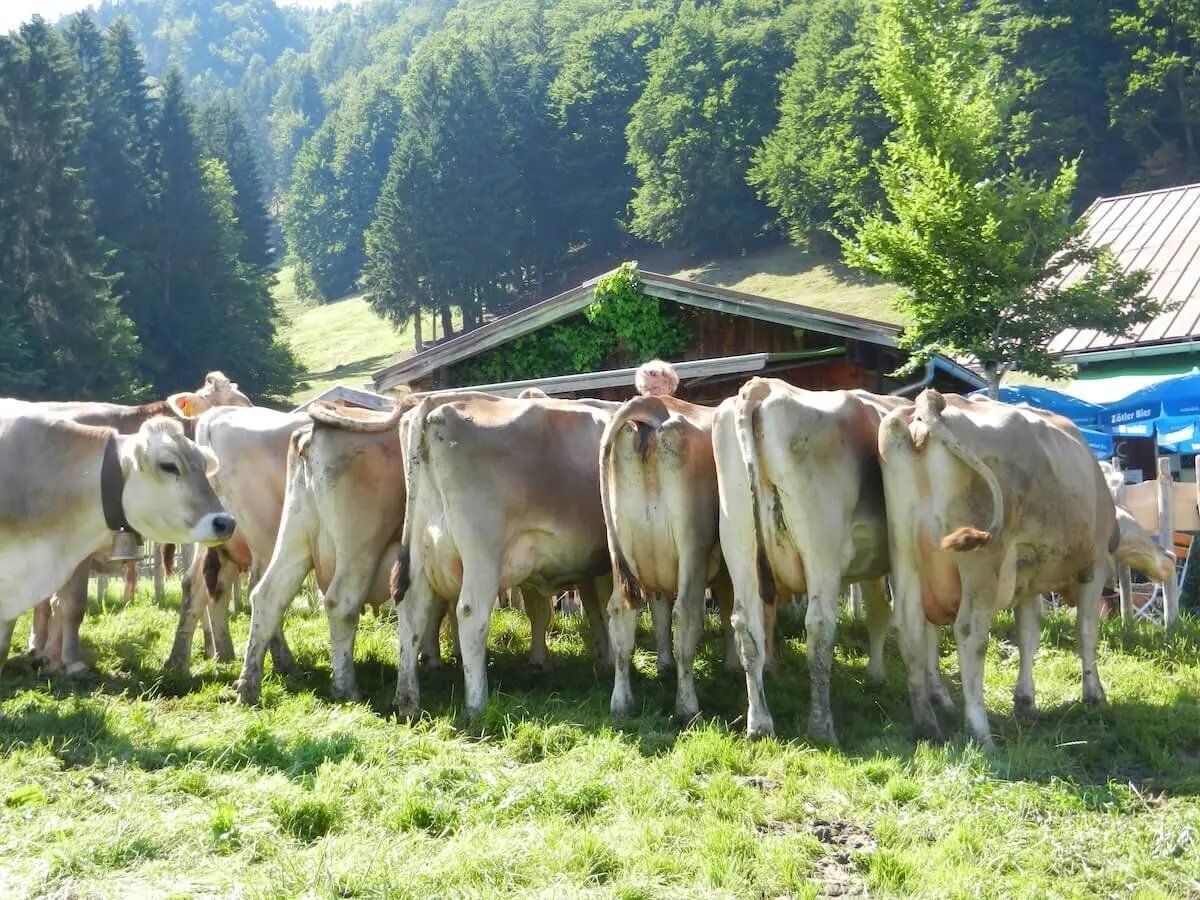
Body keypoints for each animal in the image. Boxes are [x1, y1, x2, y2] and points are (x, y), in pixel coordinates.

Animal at [388, 392, 621, 721]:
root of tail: (433, 405)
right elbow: (601, 606)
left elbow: (577, 608)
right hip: (482, 556)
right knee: (470, 613)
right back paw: (476, 704)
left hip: (421, 553)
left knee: (412, 611)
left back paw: (408, 701)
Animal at [713, 379, 953, 743]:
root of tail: (764, 387)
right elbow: (922, 625)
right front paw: (937, 691)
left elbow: (879, 613)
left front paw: (876, 676)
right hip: (821, 552)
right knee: (819, 628)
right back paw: (821, 725)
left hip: (740, 546)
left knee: (746, 628)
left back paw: (760, 723)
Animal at [877, 388, 1127, 745]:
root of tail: (930, 402)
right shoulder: (1094, 567)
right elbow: (1087, 631)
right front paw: (1095, 695)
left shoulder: (1028, 579)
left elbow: (1028, 635)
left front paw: (1025, 701)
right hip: (981, 562)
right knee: (970, 632)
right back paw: (980, 730)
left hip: (905, 553)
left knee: (910, 627)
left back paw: (927, 725)